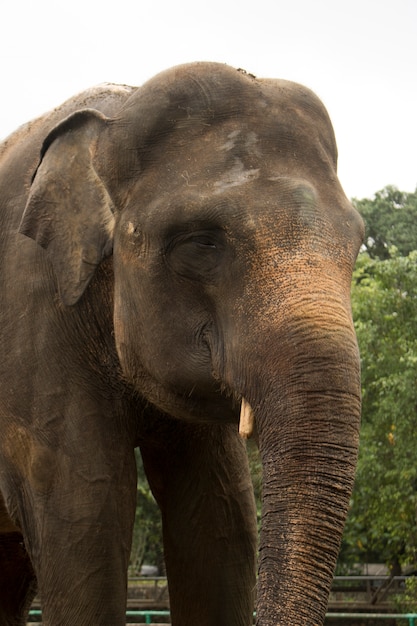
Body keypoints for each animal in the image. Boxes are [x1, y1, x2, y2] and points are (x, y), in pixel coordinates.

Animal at [0, 64, 360, 624]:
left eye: (358, 243)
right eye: (201, 243)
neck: (109, 123)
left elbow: (222, 519)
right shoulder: (32, 323)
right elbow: (85, 513)